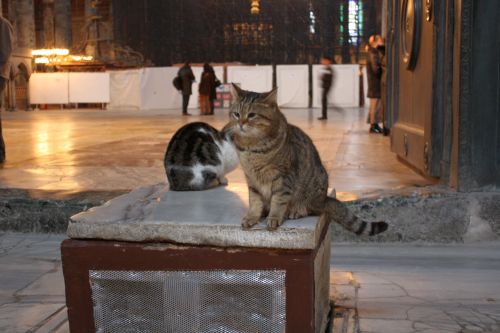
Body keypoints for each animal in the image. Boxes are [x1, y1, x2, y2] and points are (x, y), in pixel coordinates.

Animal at [225, 84, 388, 235]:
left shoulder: (284, 177)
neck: (251, 148)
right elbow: (254, 200)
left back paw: (295, 211)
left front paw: (274, 217)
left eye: (252, 115)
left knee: (311, 209)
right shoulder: (251, 179)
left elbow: (278, 200)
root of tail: (324, 199)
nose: (240, 123)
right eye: (236, 114)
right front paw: (252, 217)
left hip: (314, 188)